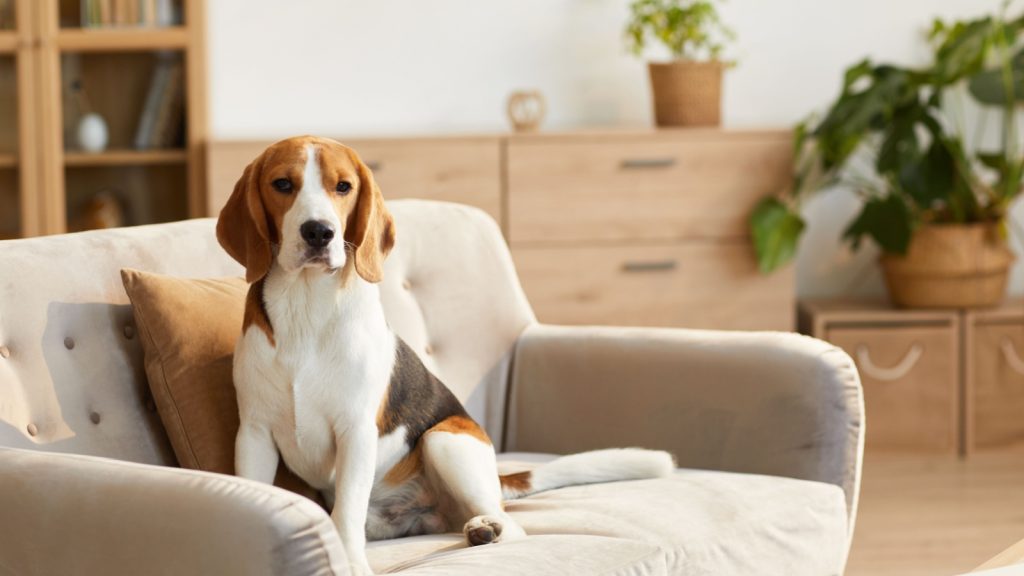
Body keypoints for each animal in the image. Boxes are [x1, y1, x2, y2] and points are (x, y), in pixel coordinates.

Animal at [216, 135, 675, 573]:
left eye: (343, 187)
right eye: (282, 184)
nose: (319, 232)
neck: (307, 305)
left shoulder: (356, 431)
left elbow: (345, 511)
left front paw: (351, 563)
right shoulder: (254, 433)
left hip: (445, 439)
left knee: (512, 526)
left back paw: (485, 529)